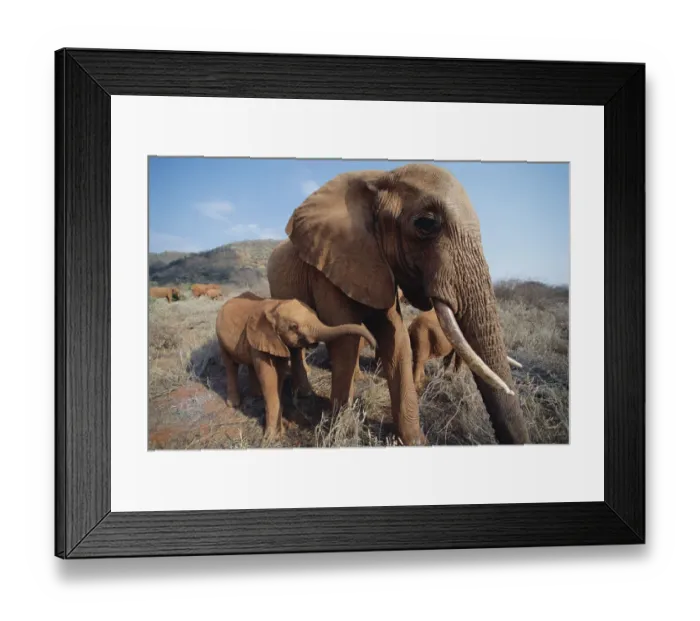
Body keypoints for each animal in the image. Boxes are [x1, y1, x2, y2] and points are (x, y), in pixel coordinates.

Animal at [215, 291, 377, 440]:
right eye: (294, 326)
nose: (374, 345)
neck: (275, 306)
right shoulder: (262, 337)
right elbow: (269, 377)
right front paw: (272, 438)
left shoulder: (275, 341)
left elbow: (279, 373)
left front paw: (280, 431)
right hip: (220, 338)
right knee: (230, 365)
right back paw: (234, 404)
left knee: (250, 366)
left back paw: (257, 395)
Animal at [267, 163, 530, 445]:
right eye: (426, 223)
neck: (381, 176)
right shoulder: (327, 267)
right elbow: (346, 340)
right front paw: (341, 430)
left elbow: (396, 336)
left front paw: (414, 441)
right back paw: (304, 393)